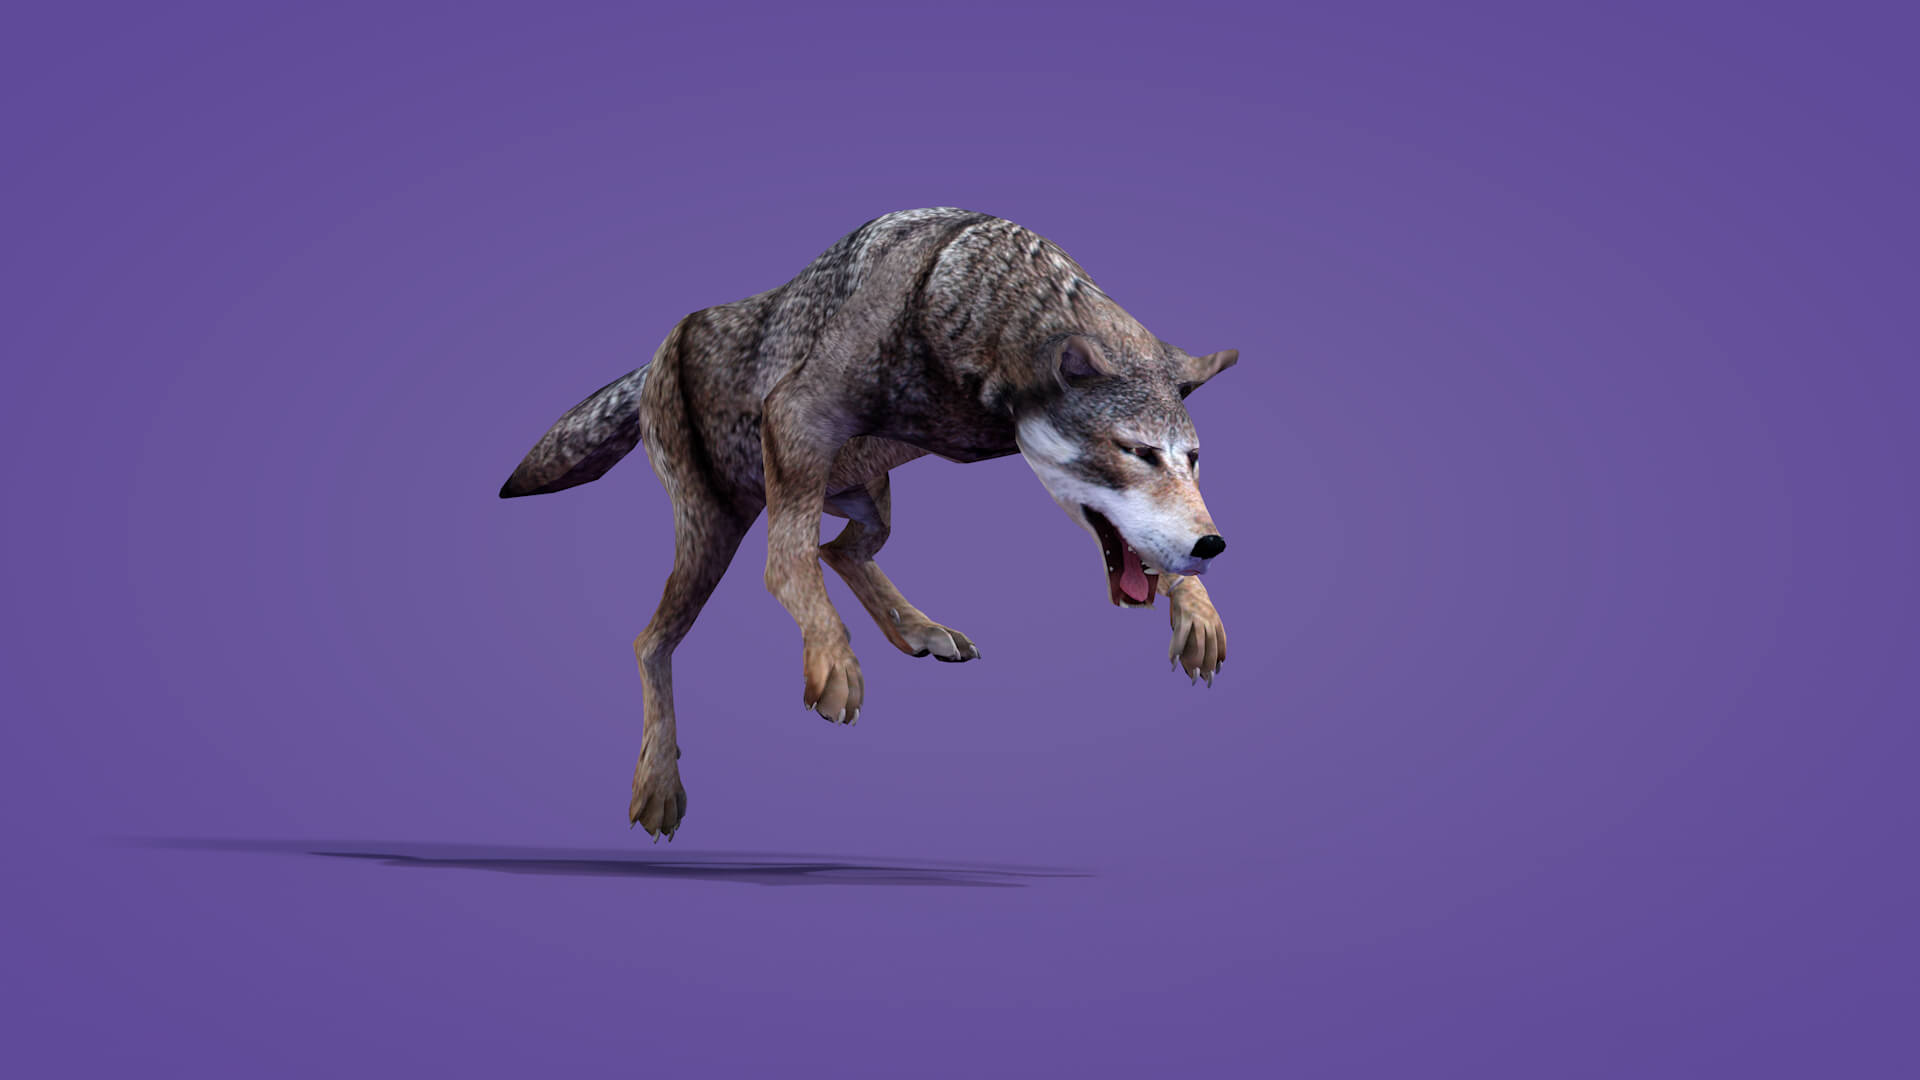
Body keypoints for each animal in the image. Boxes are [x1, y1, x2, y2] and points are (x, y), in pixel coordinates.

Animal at [501, 207, 1238, 839]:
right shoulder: (794, 416)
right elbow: (784, 570)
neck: (964, 298)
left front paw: (1198, 607)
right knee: (657, 638)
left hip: (866, 499)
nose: (1214, 544)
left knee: (842, 551)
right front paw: (832, 661)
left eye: (1193, 459)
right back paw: (657, 785)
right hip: (718, 525)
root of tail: (660, 349)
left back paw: (920, 630)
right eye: (1136, 452)